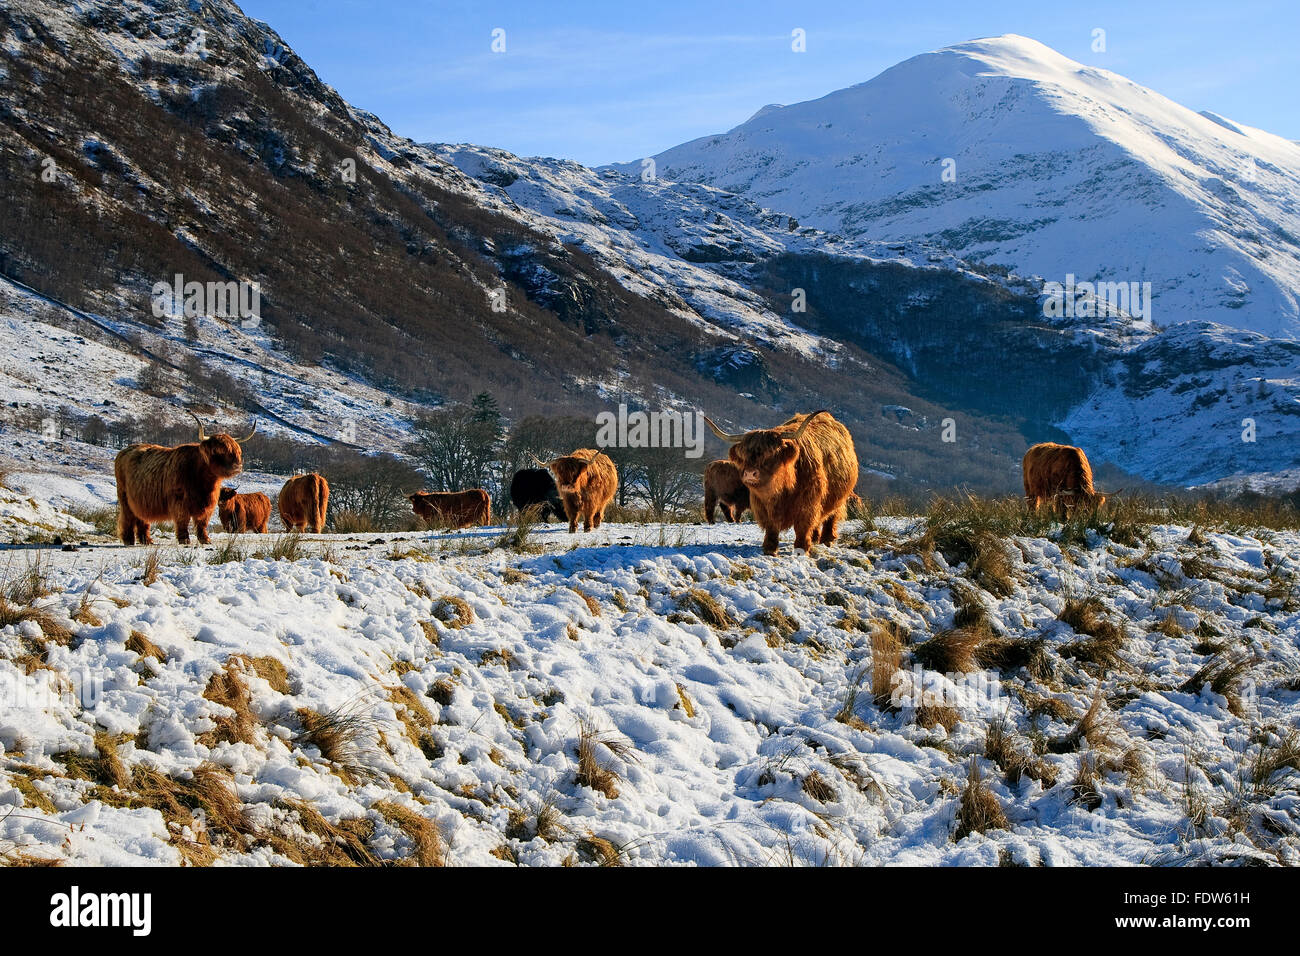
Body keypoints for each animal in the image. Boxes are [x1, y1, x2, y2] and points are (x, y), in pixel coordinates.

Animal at [117, 413, 258, 546]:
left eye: (237, 451)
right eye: (218, 451)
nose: (237, 466)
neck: (203, 480)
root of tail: (125, 451)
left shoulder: (208, 504)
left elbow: (202, 522)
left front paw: (205, 539)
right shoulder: (180, 501)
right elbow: (183, 520)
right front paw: (184, 539)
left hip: (141, 500)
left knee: (141, 518)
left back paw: (146, 540)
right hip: (124, 498)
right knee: (128, 517)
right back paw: (128, 540)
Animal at [707, 408, 857, 556]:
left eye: (770, 454)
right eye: (744, 454)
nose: (750, 473)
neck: (781, 488)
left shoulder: (808, 501)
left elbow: (803, 525)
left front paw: (801, 549)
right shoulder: (762, 504)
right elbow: (771, 525)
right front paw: (770, 548)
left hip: (838, 496)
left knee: (831, 516)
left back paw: (827, 539)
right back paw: (815, 538)